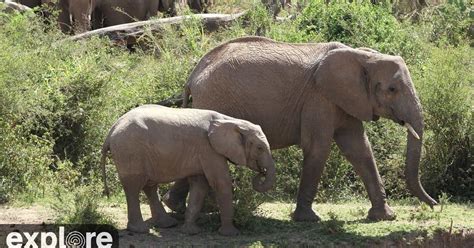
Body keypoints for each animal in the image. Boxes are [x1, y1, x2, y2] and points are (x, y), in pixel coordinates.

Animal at [101, 104, 278, 236]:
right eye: (260, 148)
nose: (261, 172)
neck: (231, 121)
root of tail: (111, 129)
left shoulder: (203, 152)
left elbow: (200, 185)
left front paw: (190, 232)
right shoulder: (208, 149)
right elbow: (221, 183)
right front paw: (230, 234)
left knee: (149, 186)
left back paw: (167, 225)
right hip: (130, 151)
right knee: (133, 186)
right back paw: (140, 230)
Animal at [165, 36, 438, 223]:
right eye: (392, 89)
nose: (436, 204)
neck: (362, 56)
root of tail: (193, 75)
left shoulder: (345, 100)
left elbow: (359, 149)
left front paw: (384, 217)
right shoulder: (319, 98)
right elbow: (318, 147)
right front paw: (308, 219)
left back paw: (175, 206)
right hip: (214, 98)